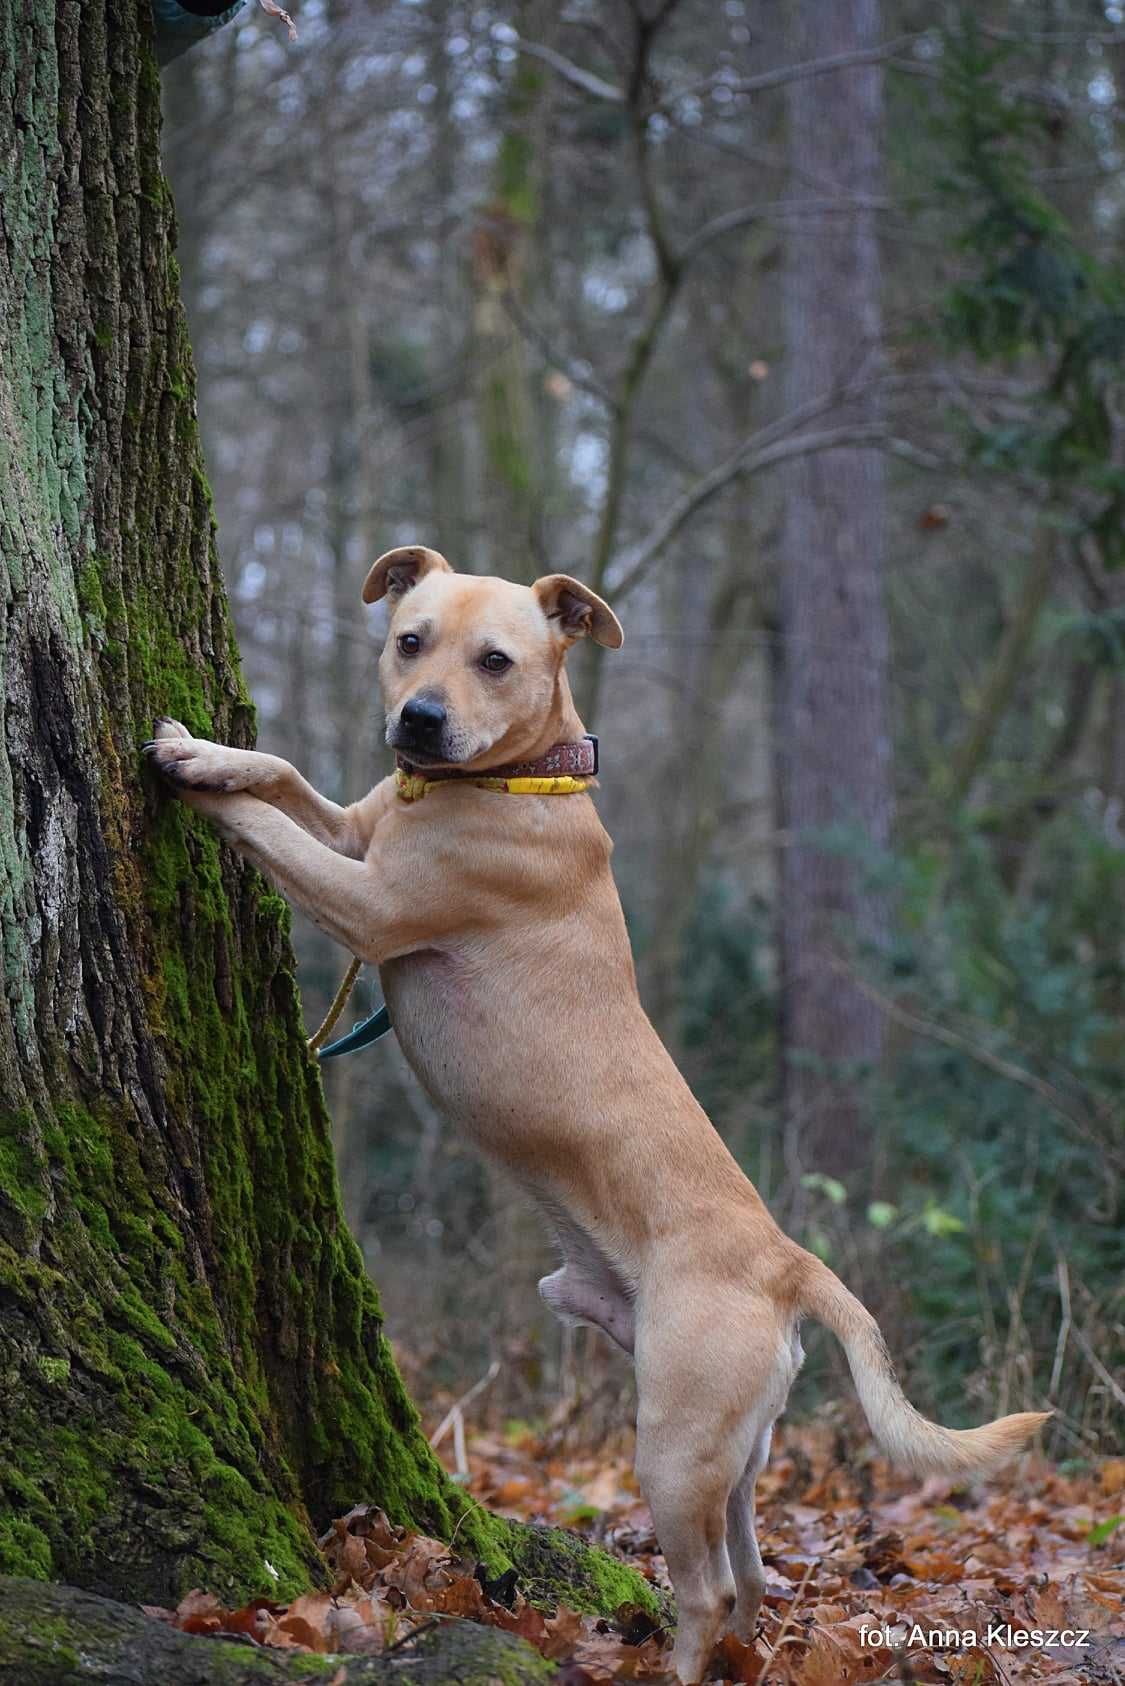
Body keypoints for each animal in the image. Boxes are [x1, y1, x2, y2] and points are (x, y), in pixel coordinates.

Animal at [145, 542, 1052, 1686]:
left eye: (495, 661)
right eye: (409, 640)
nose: (418, 721)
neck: (511, 780)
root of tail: (788, 1263)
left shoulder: (369, 903)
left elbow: (269, 826)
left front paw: (191, 783)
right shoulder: (357, 826)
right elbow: (282, 776)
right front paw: (208, 750)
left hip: (670, 1440)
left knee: (702, 1588)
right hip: (735, 1453)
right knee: (750, 1575)